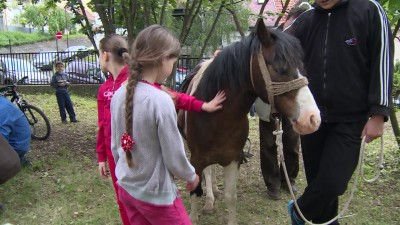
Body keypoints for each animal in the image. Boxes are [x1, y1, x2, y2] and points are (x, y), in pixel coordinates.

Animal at [181, 19, 322, 225]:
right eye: (281, 69)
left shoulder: (233, 159)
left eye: (302, 66)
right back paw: (210, 199)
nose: (312, 118)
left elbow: (231, 197)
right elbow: (194, 192)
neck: (217, 117)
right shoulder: (197, 159)